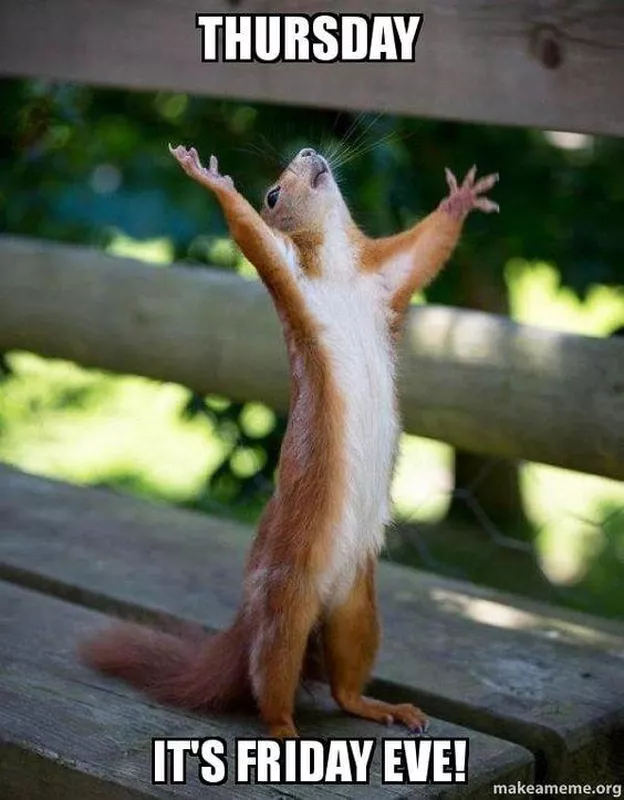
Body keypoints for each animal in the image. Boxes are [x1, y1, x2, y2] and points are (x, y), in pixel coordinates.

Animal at [81, 143, 498, 738]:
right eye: (273, 194)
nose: (307, 151)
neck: (340, 269)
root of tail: (246, 623)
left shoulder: (386, 278)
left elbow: (426, 249)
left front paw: (460, 199)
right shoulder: (287, 274)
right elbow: (250, 234)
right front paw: (212, 180)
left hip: (358, 608)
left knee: (345, 684)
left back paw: (381, 706)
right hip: (286, 605)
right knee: (270, 682)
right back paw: (284, 729)